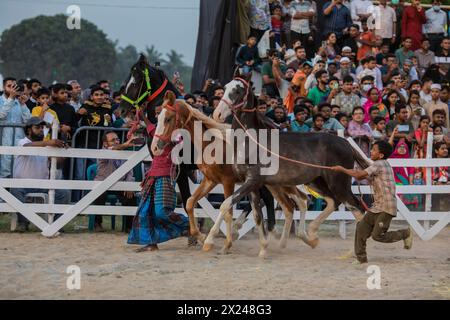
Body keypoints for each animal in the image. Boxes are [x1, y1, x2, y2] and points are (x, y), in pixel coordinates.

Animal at [152, 91, 310, 256]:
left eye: (168, 118)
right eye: (158, 117)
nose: (155, 147)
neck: (212, 144)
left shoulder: (228, 182)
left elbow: (227, 211)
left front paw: (218, 242)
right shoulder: (210, 180)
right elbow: (190, 203)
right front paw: (200, 236)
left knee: (299, 201)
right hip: (273, 184)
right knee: (293, 203)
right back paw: (288, 239)